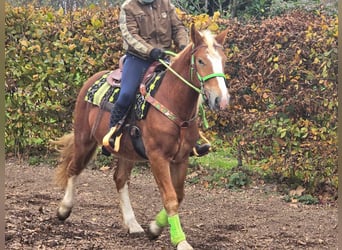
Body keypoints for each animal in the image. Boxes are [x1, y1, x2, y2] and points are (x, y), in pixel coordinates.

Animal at [52, 23, 230, 250]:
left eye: (223, 60)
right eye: (200, 61)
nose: (221, 100)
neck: (173, 103)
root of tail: (90, 81)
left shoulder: (181, 158)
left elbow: (179, 194)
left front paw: (154, 228)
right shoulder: (157, 157)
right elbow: (170, 197)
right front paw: (180, 240)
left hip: (126, 151)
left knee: (119, 179)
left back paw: (132, 224)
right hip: (84, 139)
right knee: (73, 169)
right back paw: (64, 209)